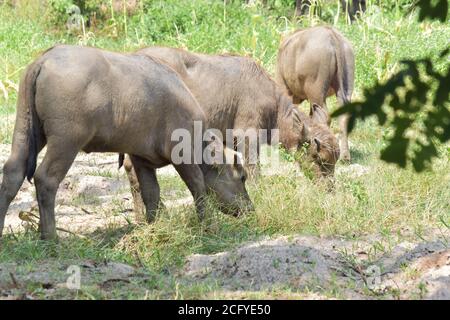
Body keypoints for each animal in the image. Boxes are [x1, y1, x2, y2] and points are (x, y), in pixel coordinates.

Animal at [0, 45, 253, 240]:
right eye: (242, 177)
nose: (249, 208)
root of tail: (44, 60)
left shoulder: (141, 160)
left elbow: (151, 193)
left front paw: (153, 226)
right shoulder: (183, 157)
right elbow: (198, 187)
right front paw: (208, 226)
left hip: (25, 129)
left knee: (12, 172)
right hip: (66, 140)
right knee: (45, 179)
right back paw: (50, 236)